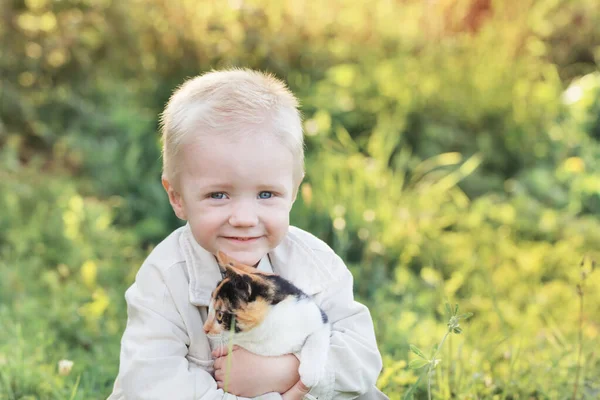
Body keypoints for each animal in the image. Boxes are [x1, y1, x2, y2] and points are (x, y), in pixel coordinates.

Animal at [204, 253, 330, 388]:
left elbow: (317, 336)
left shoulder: (316, 315)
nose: (204, 329)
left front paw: (311, 375)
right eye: (209, 309)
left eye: (220, 315)